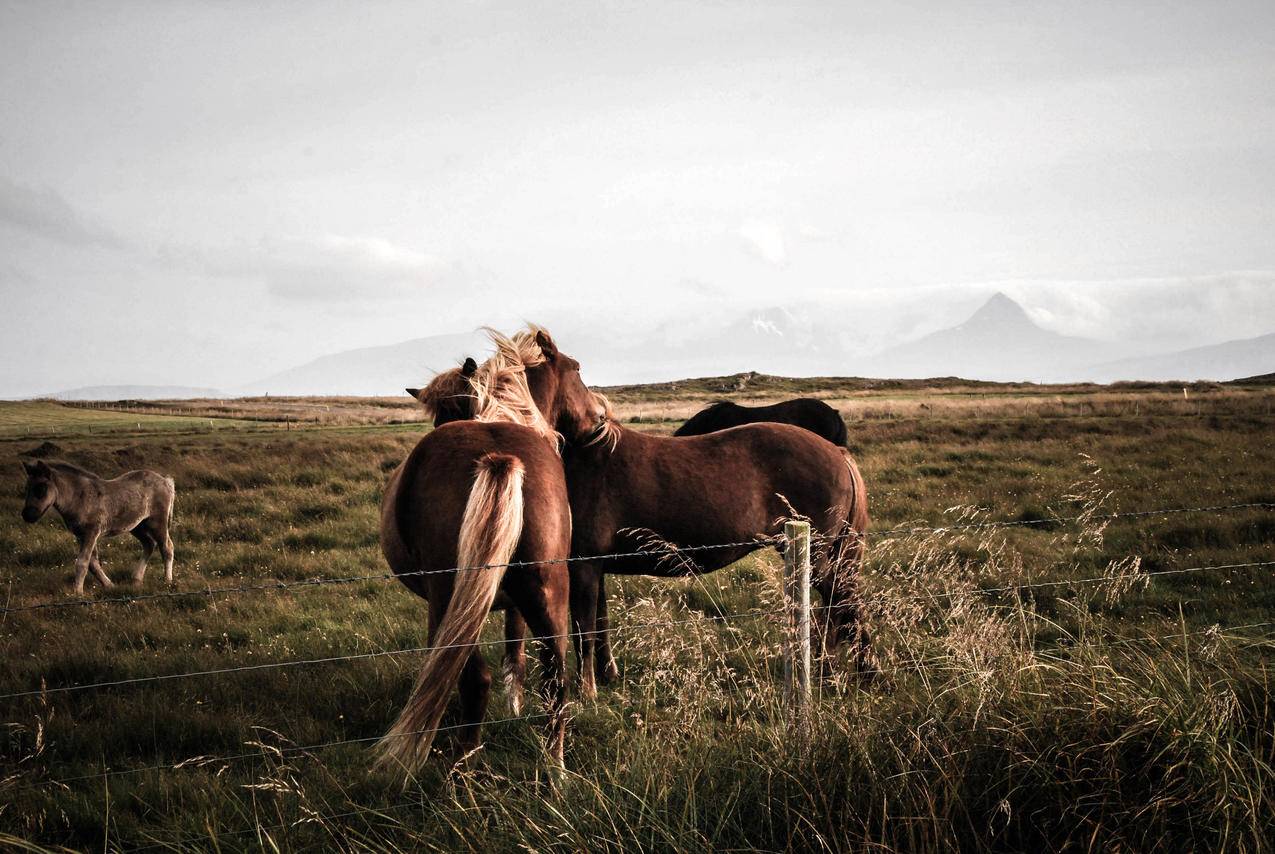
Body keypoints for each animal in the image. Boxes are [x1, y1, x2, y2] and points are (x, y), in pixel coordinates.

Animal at [20, 461, 175, 596]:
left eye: (41, 489)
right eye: (26, 488)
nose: (27, 515)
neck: (79, 497)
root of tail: (166, 481)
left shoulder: (91, 533)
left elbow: (82, 563)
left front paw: (78, 593)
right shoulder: (81, 535)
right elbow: (93, 564)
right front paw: (109, 585)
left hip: (157, 522)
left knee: (167, 547)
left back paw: (167, 581)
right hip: (137, 526)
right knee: (149, 544)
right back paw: (137, 579)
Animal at [374, 326, 604, 769]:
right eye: (578, 369)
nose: (599, 417)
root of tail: (499, 457)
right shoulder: (514, 601)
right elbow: (516, 653)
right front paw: (515, 704)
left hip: (448, 601)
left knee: (471, 677)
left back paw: (462, 764)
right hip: (548, 589)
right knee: (555, 678)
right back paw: (554, 771)